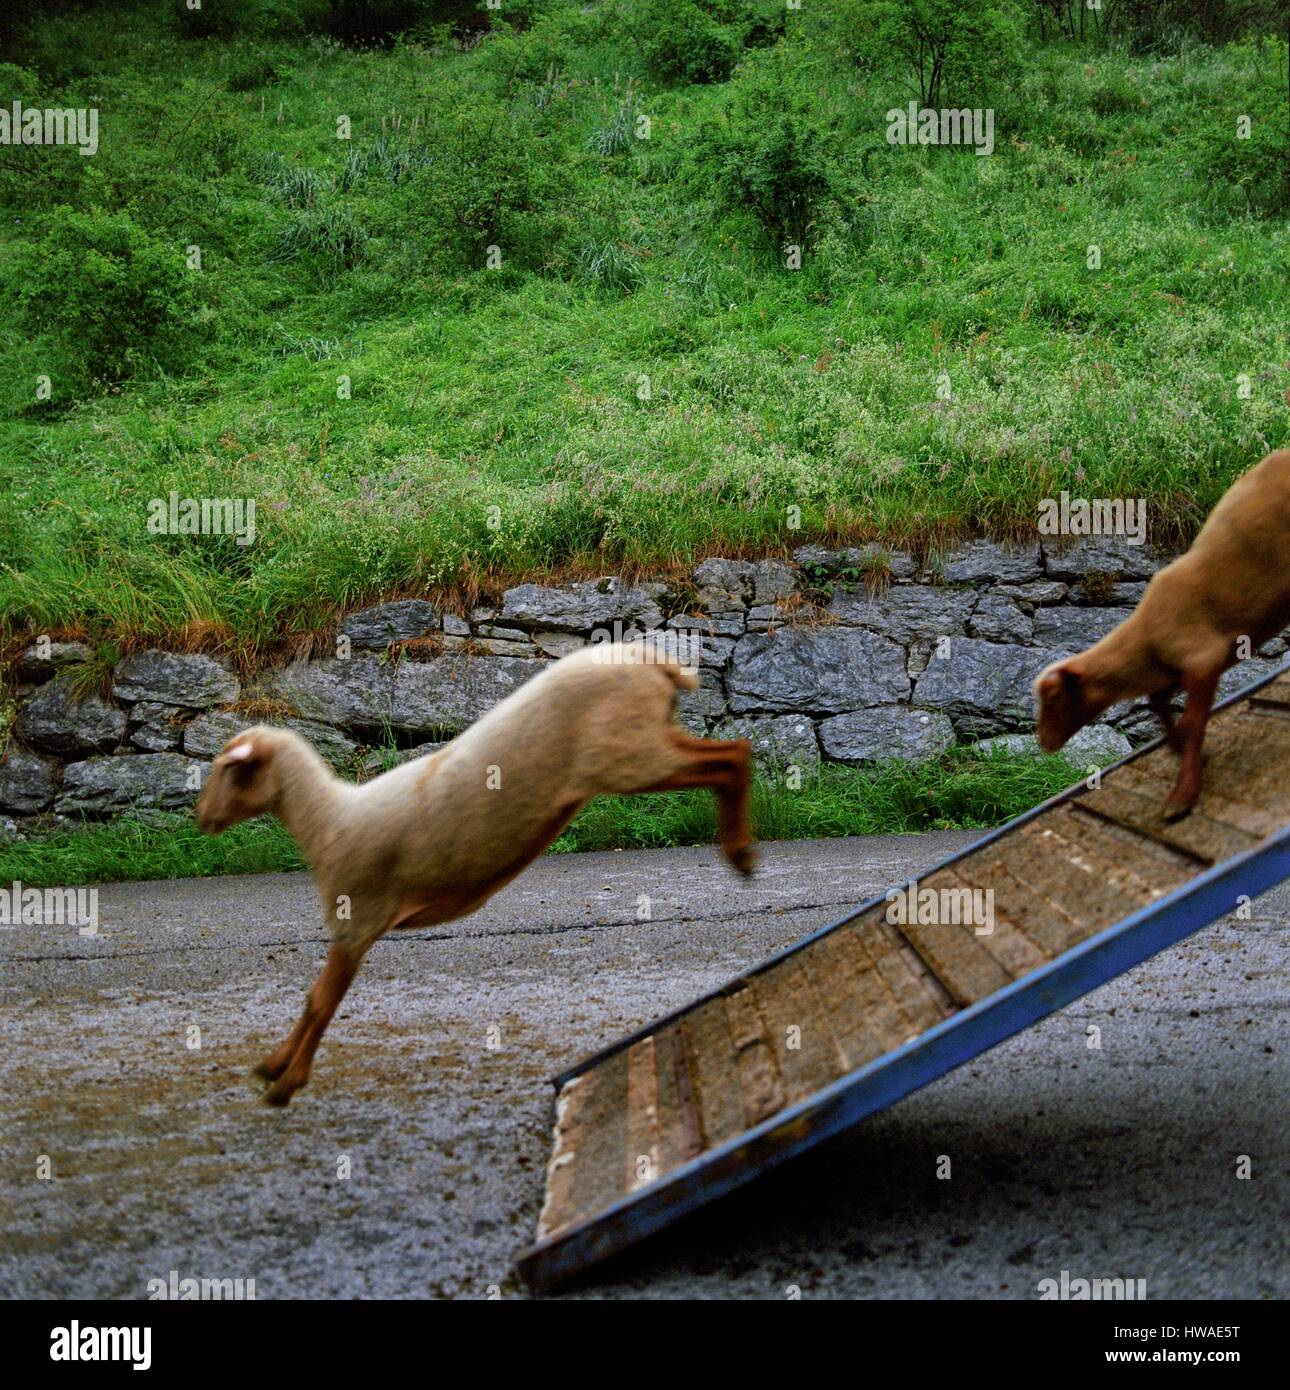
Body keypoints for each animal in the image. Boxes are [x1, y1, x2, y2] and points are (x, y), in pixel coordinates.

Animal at [194, 639, 756, 1106]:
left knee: (731, 757)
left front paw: (287, 1081)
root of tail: (651, 661)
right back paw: (740, 849)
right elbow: (315, 1001)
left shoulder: (357, 921)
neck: (330, 820)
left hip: (629, 753)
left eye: (227, 770)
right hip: (649, 740)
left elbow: (320, 1002)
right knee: (736, 753)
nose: (200, 818)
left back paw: (739, 852)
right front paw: (274, 1066)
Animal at [1034, 444, 1290, 817]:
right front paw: (1181, 748)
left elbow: (1193, 722)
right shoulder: (1169, 674)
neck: (1142, 647)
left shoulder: (1202, 659)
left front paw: (1182, 795)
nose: (1043, 742)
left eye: (1054, 697)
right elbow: (1160, 707)